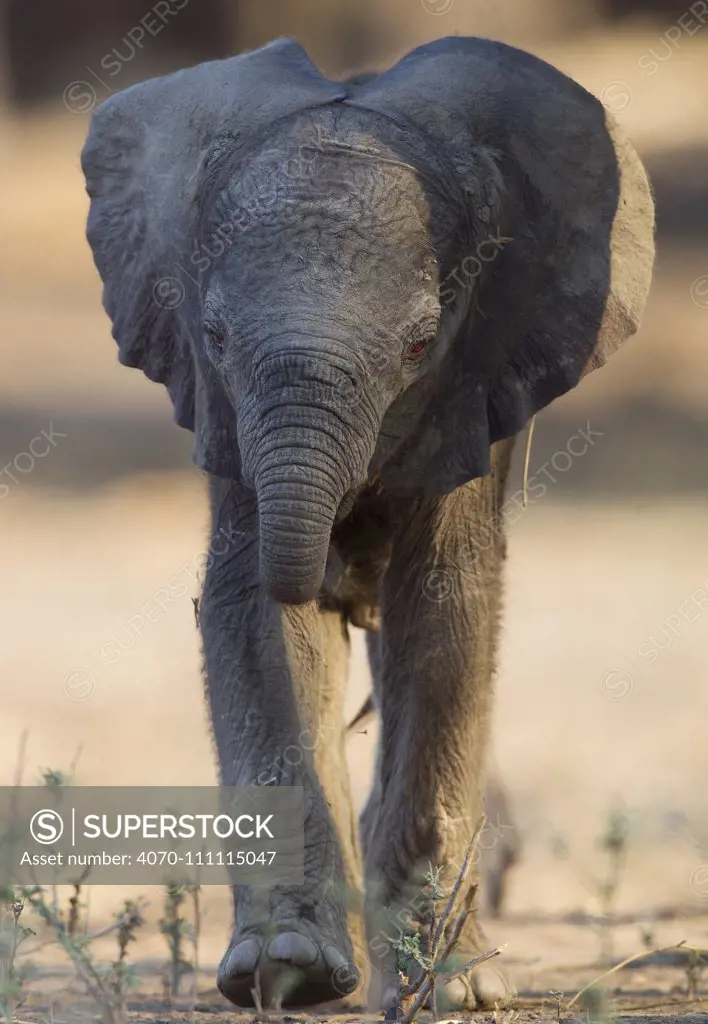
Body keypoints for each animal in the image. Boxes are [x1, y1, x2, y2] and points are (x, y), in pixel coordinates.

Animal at [81, 36, 651, 1011]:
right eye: (215, 339)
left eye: (419, 347)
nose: (338, 573)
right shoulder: (226, 417)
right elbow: (250, 615)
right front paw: (287, 972)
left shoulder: (476, 379)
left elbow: (441, 605)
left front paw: (451, 994)